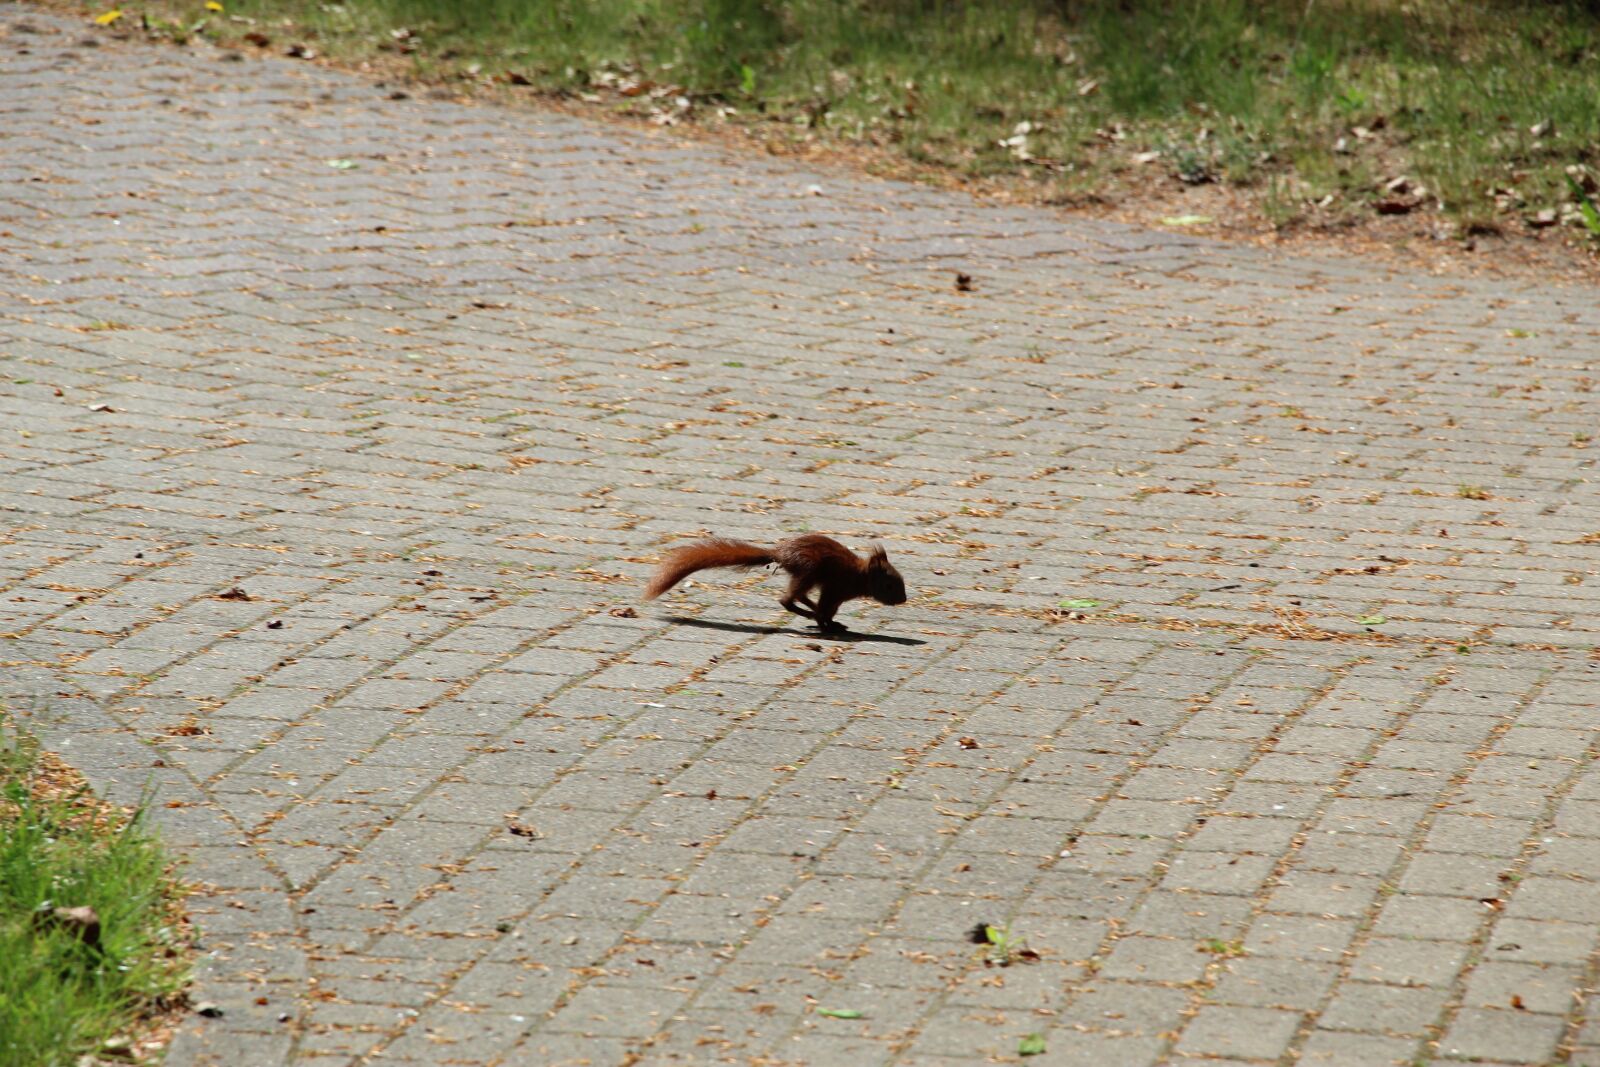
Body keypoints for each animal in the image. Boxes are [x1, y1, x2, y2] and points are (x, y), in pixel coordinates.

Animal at [643, 534, 907, 633]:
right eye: (890, 586)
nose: (904, 600)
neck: (860, 576)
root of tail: (781, 554)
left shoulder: (836, 594)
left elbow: (829, 610)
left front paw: (831, 623)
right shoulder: (835, 588)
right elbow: (826, 607)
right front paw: (826, 624)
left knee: (797, 597)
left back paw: (811, 614)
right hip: (808, 570)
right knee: (788, 599)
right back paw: (810, 615)